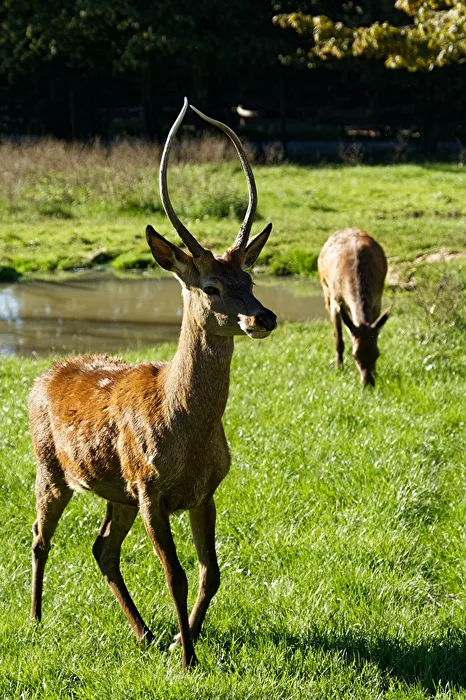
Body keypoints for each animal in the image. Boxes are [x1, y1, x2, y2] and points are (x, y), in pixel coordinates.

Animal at [28, 98, 277, 670]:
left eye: (250, 278)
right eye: (210, 286)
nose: (264, 317)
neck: (183, 427)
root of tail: (39, 379)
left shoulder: (205, 490)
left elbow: (211, 574)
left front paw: (184, 640)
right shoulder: (150, 488)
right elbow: (177, 575)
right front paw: (187, 659)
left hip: (114, 491)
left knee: (101, 548)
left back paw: (142, 633)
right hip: (52, 471)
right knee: (39, 537)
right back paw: (35, 618)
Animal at [318, 228, 391, 387]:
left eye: (377, 354)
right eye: (355, 355)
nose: (368, 383)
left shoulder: (377, 300)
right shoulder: (335, 301)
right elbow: (339, 340)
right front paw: (339, 369)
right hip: (326, 290)